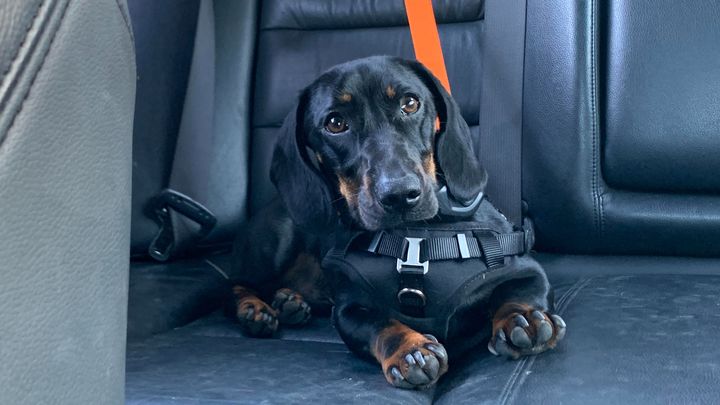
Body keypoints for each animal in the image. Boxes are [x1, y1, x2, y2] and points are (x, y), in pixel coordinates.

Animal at [231, 56, 565, 389]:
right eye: (335, 123)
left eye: (410, 103)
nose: (400, 196)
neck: (416, 236)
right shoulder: (349, 308)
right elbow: (381, 325)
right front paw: (411, 350)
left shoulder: (526, 269)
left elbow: (520, 293)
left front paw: (524, 318)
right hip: (277, 241)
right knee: (235, 283)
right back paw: (254, 310)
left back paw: (289, 302)